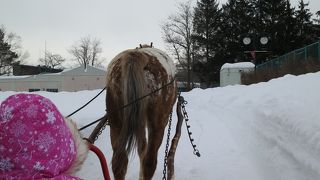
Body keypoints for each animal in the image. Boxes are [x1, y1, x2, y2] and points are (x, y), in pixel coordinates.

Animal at [105, 44, 176, 180]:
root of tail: (137, 56)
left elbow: (141, 147)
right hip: (157, 124)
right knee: (150, 162)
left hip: (115, 122)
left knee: (119, 162)